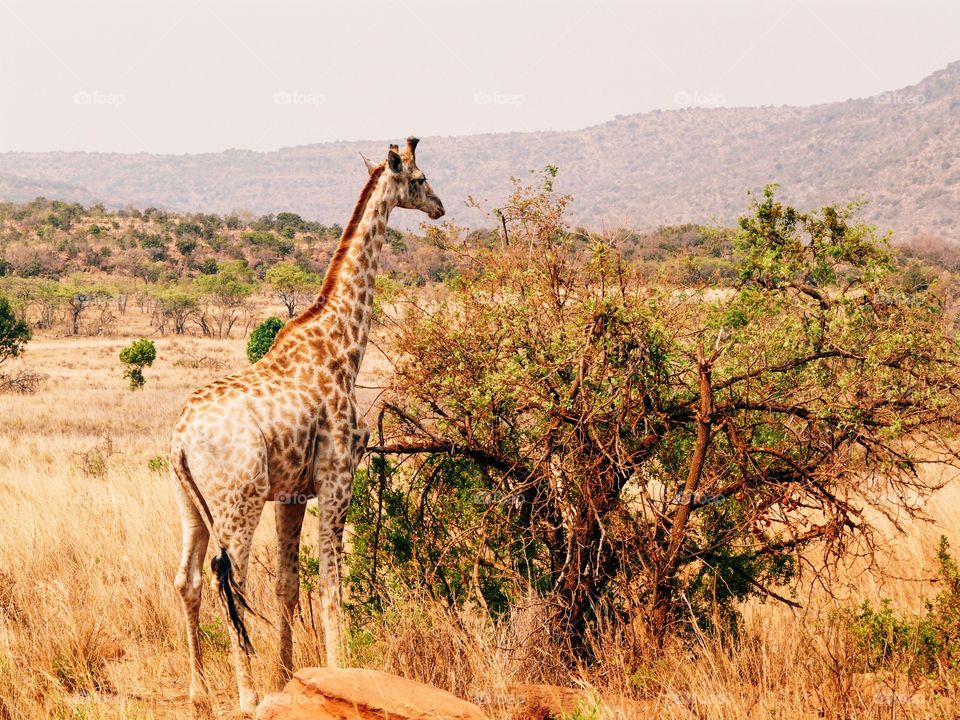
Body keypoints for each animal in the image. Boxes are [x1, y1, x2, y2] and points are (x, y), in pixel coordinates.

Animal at [169, 137, 444, 716]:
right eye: (420, 178)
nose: (440, 207)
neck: (343, 342)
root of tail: (179, 439)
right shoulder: (338, 476)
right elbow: (332, 587)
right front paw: (342, 676)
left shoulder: (292, 493)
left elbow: (289, 586)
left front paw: (289, 675)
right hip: (239, 499)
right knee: (232, 579)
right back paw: (246, 696)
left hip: (189, 502)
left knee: (188, 580)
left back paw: (200, 692)